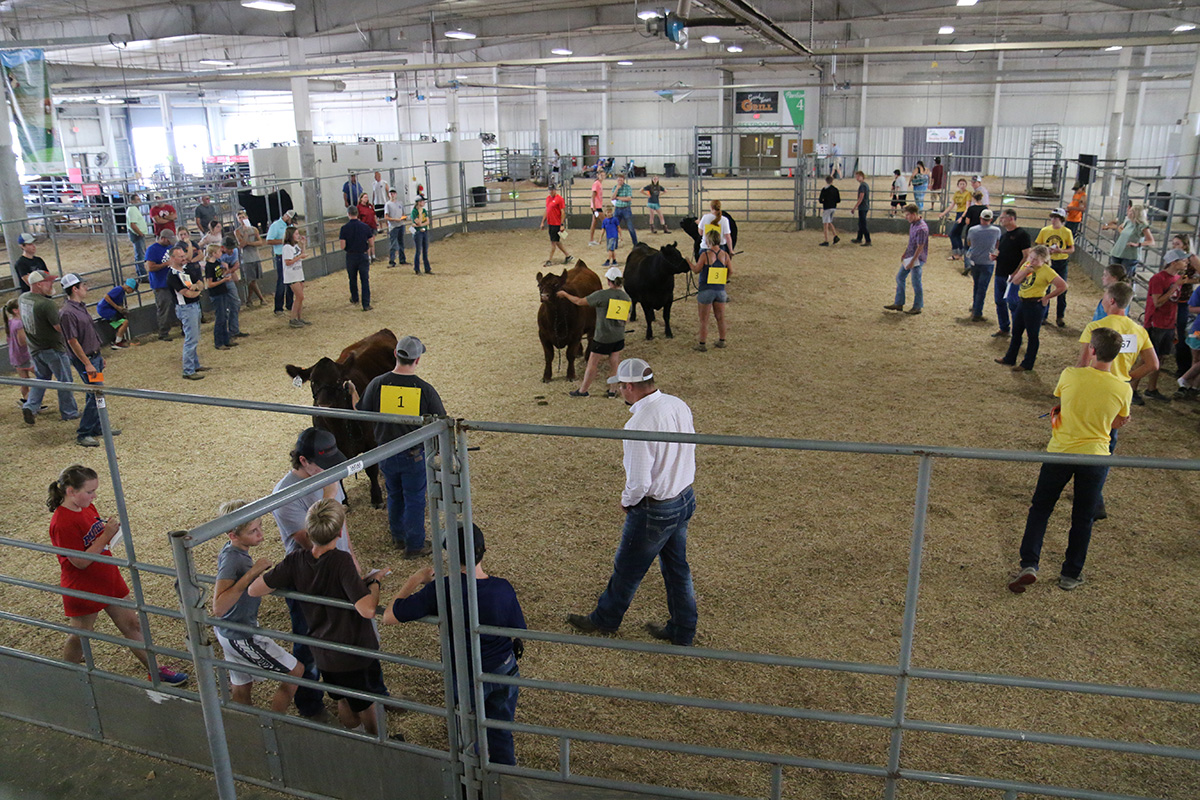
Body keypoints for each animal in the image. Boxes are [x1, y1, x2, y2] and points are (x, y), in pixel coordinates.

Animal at [283, 326, 396, 506]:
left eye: (337, 380)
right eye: (313, 381)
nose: (324, 405)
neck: (338, 426)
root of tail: (382, 331)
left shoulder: (370, 442)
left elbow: (371, 469)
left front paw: (376, 497)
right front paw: (343, 501)